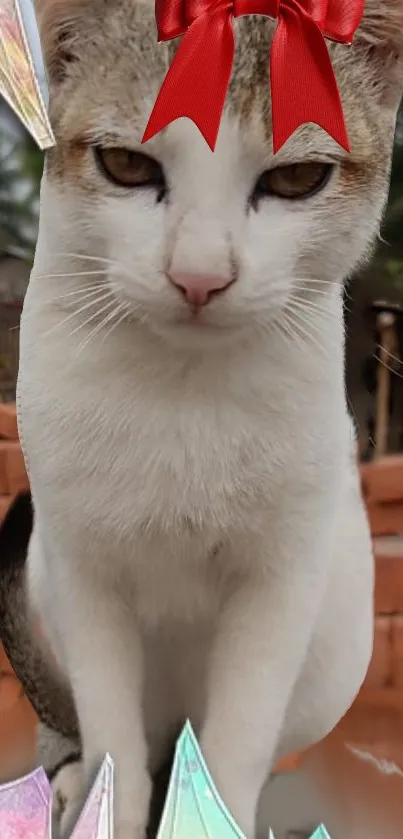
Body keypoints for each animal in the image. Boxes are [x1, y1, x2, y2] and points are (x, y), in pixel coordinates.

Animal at [7, 0, 403, 836]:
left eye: (296, 177)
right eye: (127, 166)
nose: (198, 276)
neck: (182, 393)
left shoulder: (280, 581)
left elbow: (239, 738)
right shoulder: (83, 572)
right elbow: (111, 727)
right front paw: (109, 807)